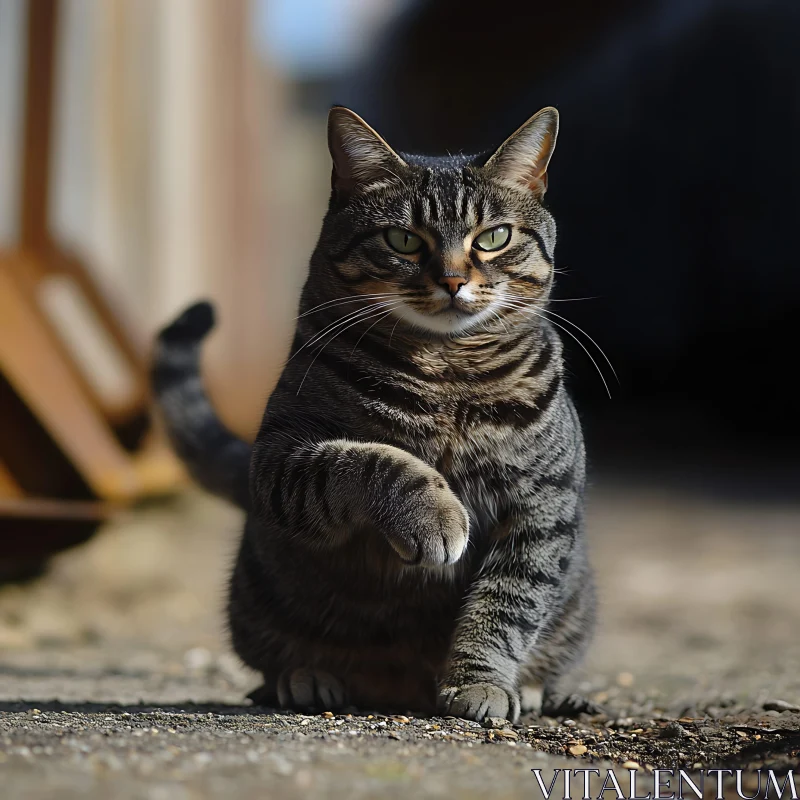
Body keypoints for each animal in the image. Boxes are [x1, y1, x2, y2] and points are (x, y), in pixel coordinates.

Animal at [153, 103, 596, 720]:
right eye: (403, 239)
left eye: (494, 237)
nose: (453, 280)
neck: (447, 369)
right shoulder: (283, 457)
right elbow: (374, 460)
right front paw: (434, 516)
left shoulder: (542, 506)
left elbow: (507, 606)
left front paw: (480, 682)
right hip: (256, 598)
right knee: (269, 661)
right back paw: (306, 677)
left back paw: (539, 691)